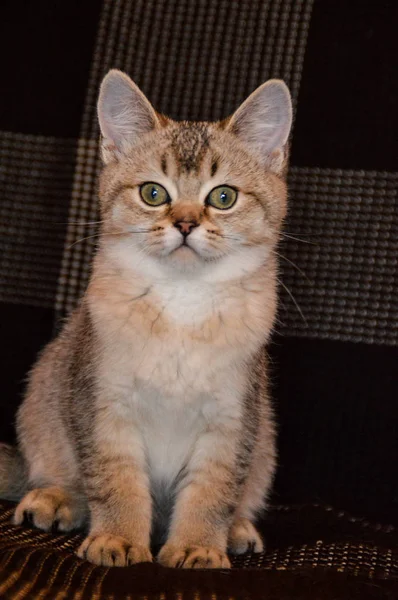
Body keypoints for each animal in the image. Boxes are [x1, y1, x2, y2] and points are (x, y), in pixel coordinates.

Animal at [0, 70, 292, 568]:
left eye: (224, 197)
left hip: (266, 442)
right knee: (55, 472)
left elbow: (213, 491)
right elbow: (115, 481)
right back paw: (56, 499)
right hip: (44, 395)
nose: (186, 224)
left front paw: (197, 545)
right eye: (153, 193)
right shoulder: (104, 406)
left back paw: (236, 529)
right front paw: (117, 539)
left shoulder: (233, 419)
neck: (182, 304)